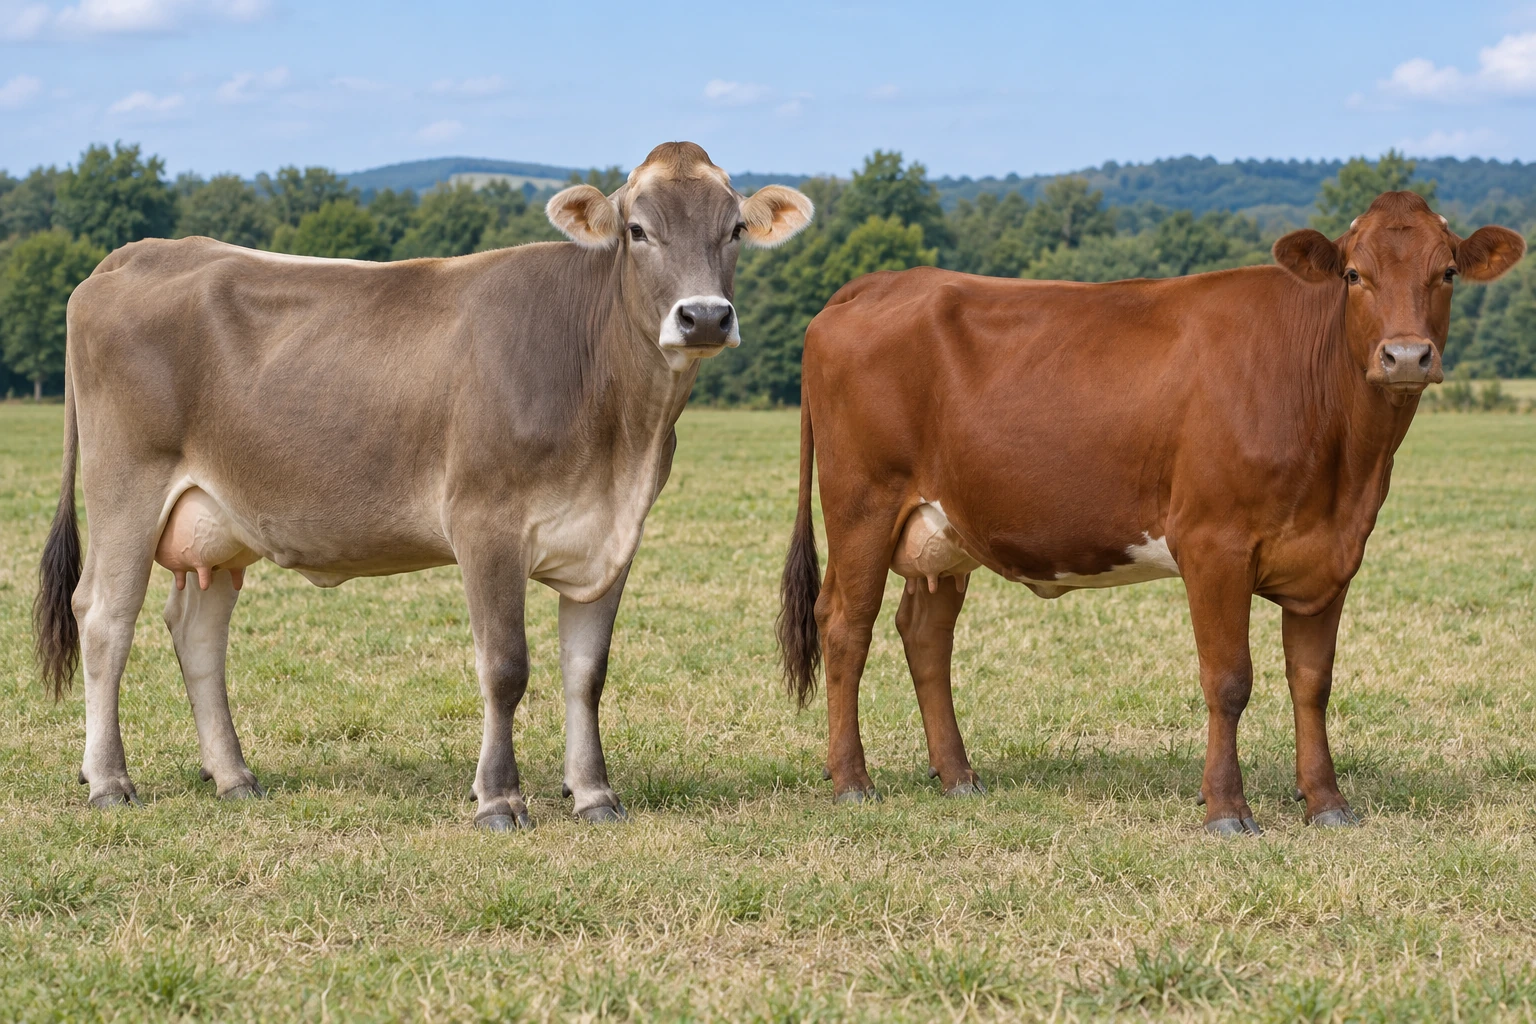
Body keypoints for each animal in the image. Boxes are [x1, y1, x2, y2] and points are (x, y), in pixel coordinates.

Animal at [34, 141, 813, 829]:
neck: (621, 432)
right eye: (637, 229)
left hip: (217, 521)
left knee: (197, 631)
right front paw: (498, 800)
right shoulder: (485, 523)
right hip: (126, 485)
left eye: (734, 229)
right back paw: (110, 781)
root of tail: (141, 252)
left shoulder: (613, 534)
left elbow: (586, 672)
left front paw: (594, 794)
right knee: (104, 618)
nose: (704, 316)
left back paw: (234, 777)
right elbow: (505, 666)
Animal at [778, 191, 1523, 834]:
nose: (1406, 355)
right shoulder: (1214, 545)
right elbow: (1229, 680)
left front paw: (1327, 804)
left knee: (925, 634)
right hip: (862, 504)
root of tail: (877, 283)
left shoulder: (1331, 558)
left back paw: (959, 776)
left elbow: (1312, 684)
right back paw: (853, 782)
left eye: (1447, 271)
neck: (1345, 468)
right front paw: (1226, 810)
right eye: (1353, 274)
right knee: (845, 625)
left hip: (944, 529)